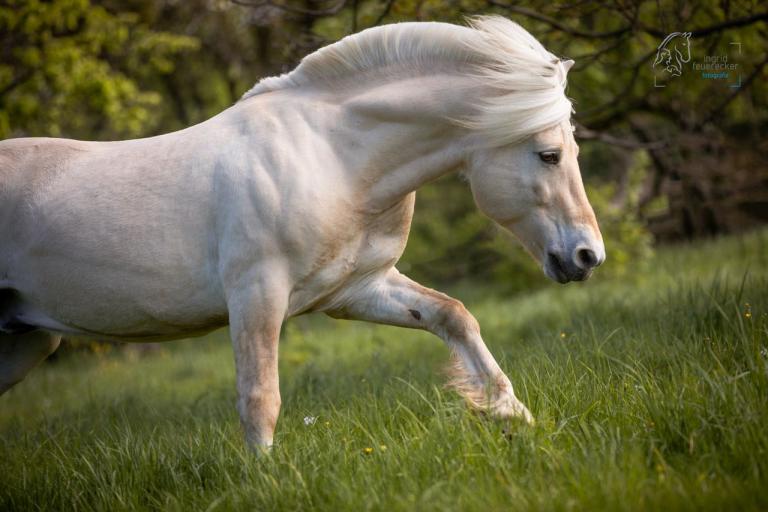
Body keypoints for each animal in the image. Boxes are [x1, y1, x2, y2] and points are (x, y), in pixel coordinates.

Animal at [0, 16, 604, 449]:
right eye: (549, 155)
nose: (587, 256)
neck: (333, 156)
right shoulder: (256, 296)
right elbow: (259, 398)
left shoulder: (358, 290)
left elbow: (453, 316)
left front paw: (514, 415)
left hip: (28, 339)